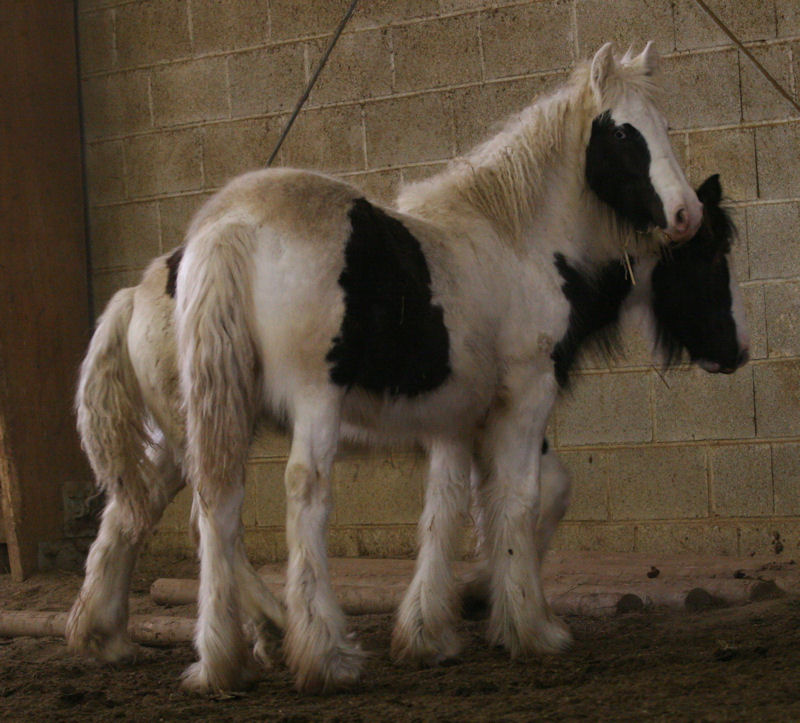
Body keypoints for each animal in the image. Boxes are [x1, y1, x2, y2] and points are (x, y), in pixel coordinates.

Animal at [70, 46, 724, 696]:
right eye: (623, 132)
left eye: (663, 124)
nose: (686, 214)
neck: (512, 235)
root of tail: (228, 229)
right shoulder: (525, 397)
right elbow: (520, 499)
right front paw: (531, 627)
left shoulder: (455, 420)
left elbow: (446, 509)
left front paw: (432, 633)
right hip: (309, 404)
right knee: (297, 495)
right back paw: (319, 650)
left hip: (200, 422)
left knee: (185, 509)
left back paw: (189, 653)